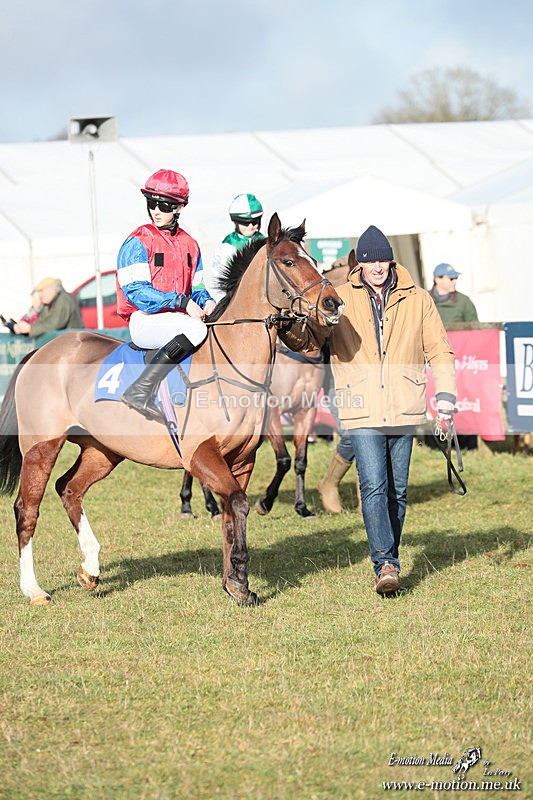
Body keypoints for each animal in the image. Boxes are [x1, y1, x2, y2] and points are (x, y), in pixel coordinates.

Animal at [0, 214, 343, 607]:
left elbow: (231, 514)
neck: (231, 365)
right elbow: (238, 504)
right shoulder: (201, 454)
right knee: (27, 508)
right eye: (288, 262)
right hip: (41, 447)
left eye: (313, 259)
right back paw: (34, 589)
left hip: (103, 451)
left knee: (69, 489)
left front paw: (235, 584)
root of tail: (40, 351)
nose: (333, 303)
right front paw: (239, 576)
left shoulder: (242, 460)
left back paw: (91, 568)